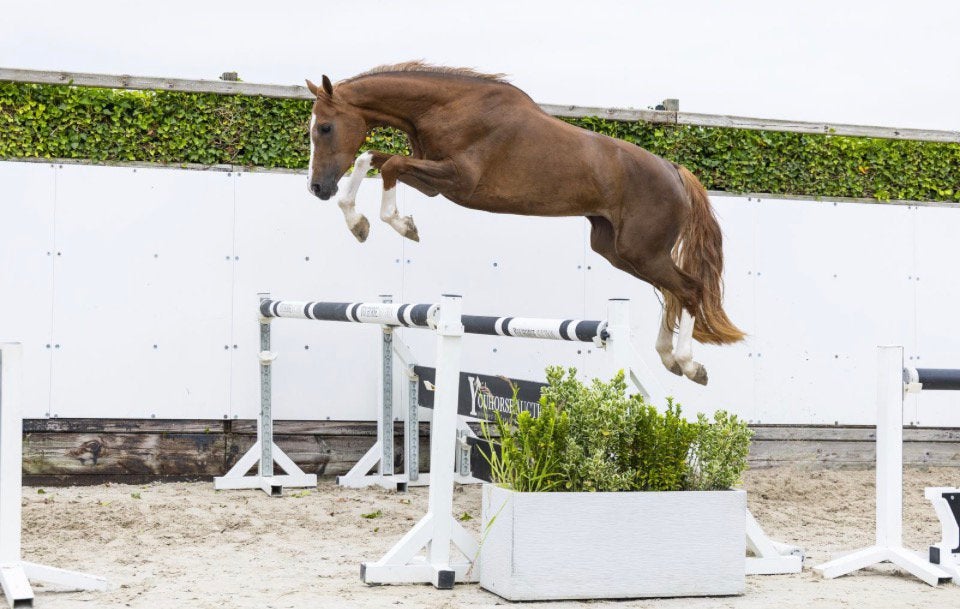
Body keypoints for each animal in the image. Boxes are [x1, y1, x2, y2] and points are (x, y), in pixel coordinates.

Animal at [304, 62, 744, 385]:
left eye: (324, 127)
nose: (318, 188)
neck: (447, 109)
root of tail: (674, 172)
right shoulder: (431, 180)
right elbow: (372, 159)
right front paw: (358, 222)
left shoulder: (456, 180)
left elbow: (390, 165)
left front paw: (399, 225)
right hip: (620, 252)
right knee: (674, 293)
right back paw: (670, 358)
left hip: (641, 250)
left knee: (690, 289)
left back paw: (688, 364)